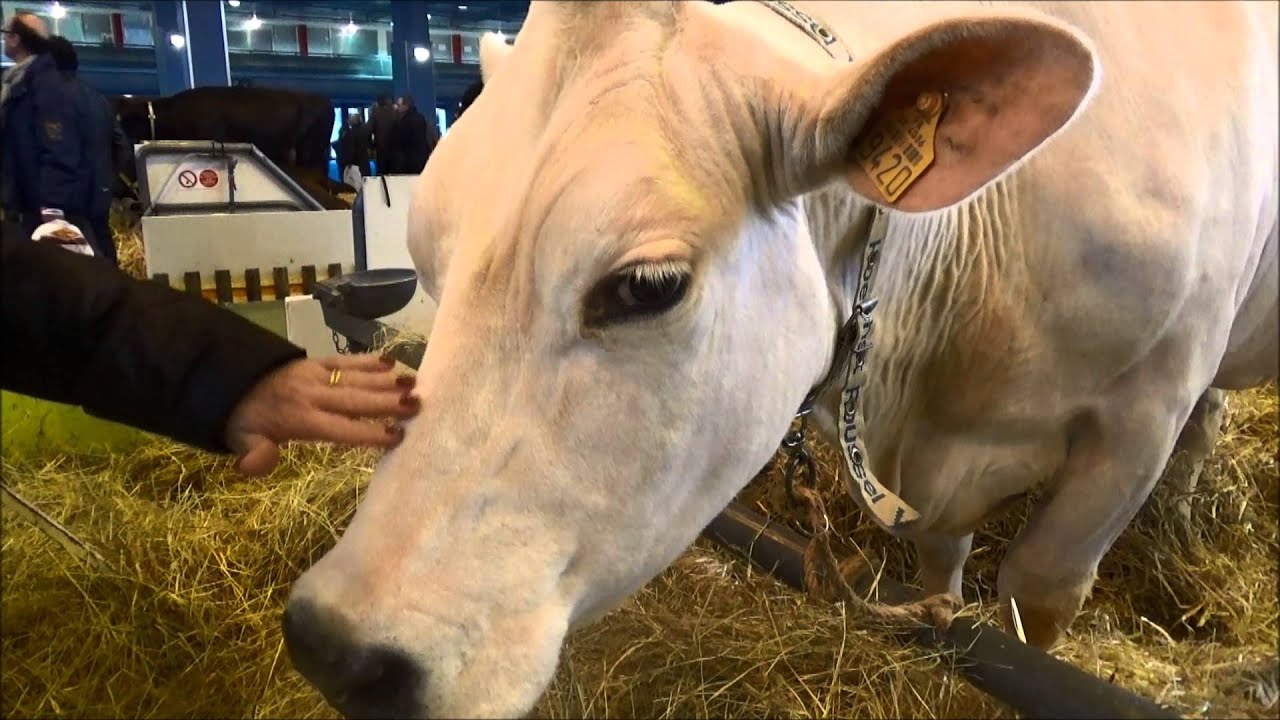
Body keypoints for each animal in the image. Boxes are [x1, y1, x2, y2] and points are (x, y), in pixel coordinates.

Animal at [279, 2, 1279, 718]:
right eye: (425, 251)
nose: (336, 647)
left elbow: (1037, 601)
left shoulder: (1140, 415)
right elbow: (942, 576)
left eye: (646, 284)